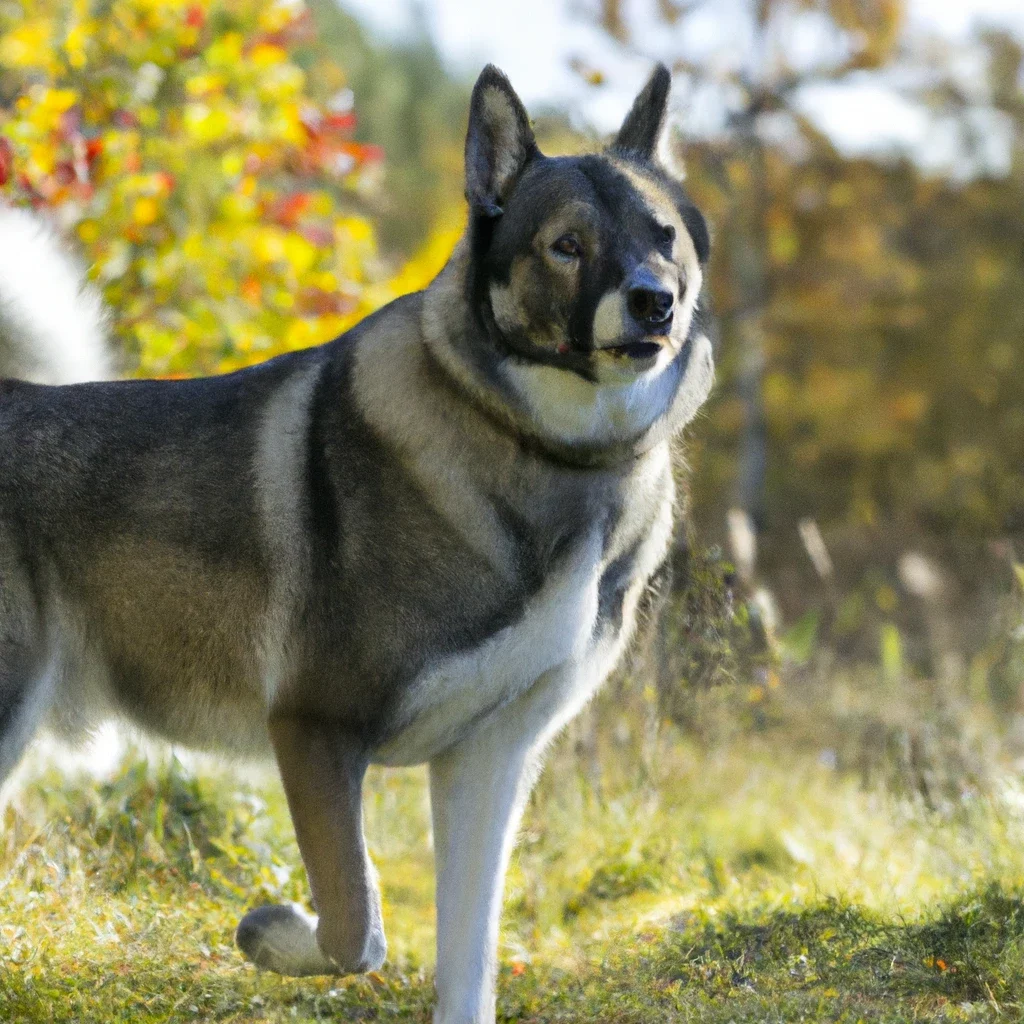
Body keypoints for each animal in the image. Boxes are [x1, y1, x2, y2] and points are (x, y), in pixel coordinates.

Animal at [0, 66, 712, 1024]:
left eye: (663, 237)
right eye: (566, 244)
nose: (653, 301)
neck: (551, 456)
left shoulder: (487, 763)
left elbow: (468, 962)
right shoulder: (316, 731)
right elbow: (356, 930)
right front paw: (272, 933)